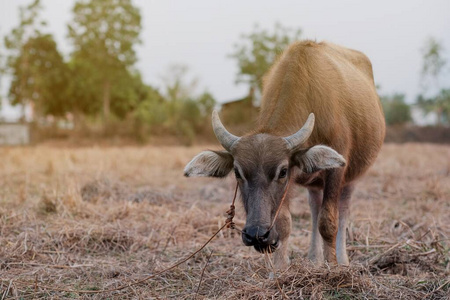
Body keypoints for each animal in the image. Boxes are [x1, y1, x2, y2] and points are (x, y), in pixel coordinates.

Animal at [183, 41, 384, 268]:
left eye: (282, 171)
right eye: (237, 172)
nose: (257, 235)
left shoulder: (333, 172)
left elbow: (328, 221)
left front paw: (332, 266)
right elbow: (284, 223)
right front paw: (278, 270)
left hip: (352, 177)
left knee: (343, 209)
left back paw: (342, 260)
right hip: (313, 182)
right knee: (314, 207)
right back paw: (313, 258)